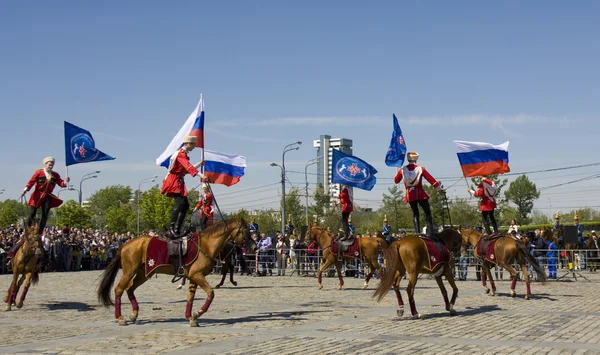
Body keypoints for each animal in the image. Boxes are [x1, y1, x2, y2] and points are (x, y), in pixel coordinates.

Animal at [96, 216, 255, 326]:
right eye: (246, 230)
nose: (254, 247)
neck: (205, 245)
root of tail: (125, 245)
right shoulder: (197, 276)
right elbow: (210, 293)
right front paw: (197, 313)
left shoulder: (194, 277)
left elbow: (190, 297)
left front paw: (191, 317)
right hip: (129, 271)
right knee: (119, 289)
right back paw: (120, 318)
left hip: (143, 273)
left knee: (130, 288)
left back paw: (134, 314)